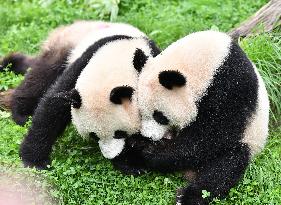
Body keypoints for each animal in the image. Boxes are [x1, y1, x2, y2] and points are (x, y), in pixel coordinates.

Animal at [2, 20, 159, 169]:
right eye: (94, 136)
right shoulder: (83, 64)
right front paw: (34, 161)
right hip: (64, 49)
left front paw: (129, 162)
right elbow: (53, 106)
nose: (111, 155)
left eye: (120, 133)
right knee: (41, 76)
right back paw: (22, 114)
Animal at [116, 30, 270, 205]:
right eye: (141, 113)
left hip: (248, 139)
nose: (149, 136)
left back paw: (186, 197)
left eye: (160, 116)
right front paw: (138, 144)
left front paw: (150, 152)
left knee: (224, 168)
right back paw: (129, 161)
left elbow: (209, 138)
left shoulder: (232, 89)